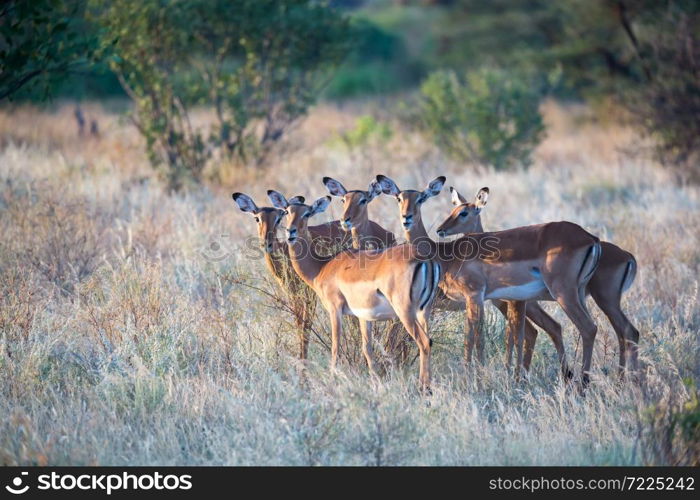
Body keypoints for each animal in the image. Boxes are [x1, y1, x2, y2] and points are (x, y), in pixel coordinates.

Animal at [231, 191, 348, 360]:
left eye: (278, 218)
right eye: (257, 218)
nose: (267, 243)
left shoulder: (310, 294)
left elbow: (306, 324)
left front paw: (303, 359)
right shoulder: (293, 294)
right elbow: (298, 323)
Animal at [266, 190, 438, 390]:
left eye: (307, 213)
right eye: (287, 211)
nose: (291, 231)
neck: (322, 267)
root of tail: (424, 259)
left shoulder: (335, 309)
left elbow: (335, 346)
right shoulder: (364, 316)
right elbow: (367, 349)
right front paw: (375, 383)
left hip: (405, 312)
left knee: (424, 342)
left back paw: (424, 389)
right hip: (423, 312)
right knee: (428, 341)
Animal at [378, 174, 568, 376]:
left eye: (421, 198)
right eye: (399, 198)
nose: (407, 217)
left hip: (515, 302)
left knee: (541, 329)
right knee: (537, 330)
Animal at [442, 186, 640, 374]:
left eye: (463, 213)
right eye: (453, 209)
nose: (440, 229)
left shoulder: (518, 302)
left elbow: (515, 334)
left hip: (584, 297)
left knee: (595, 329)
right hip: (595, 299)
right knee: (626, 332)